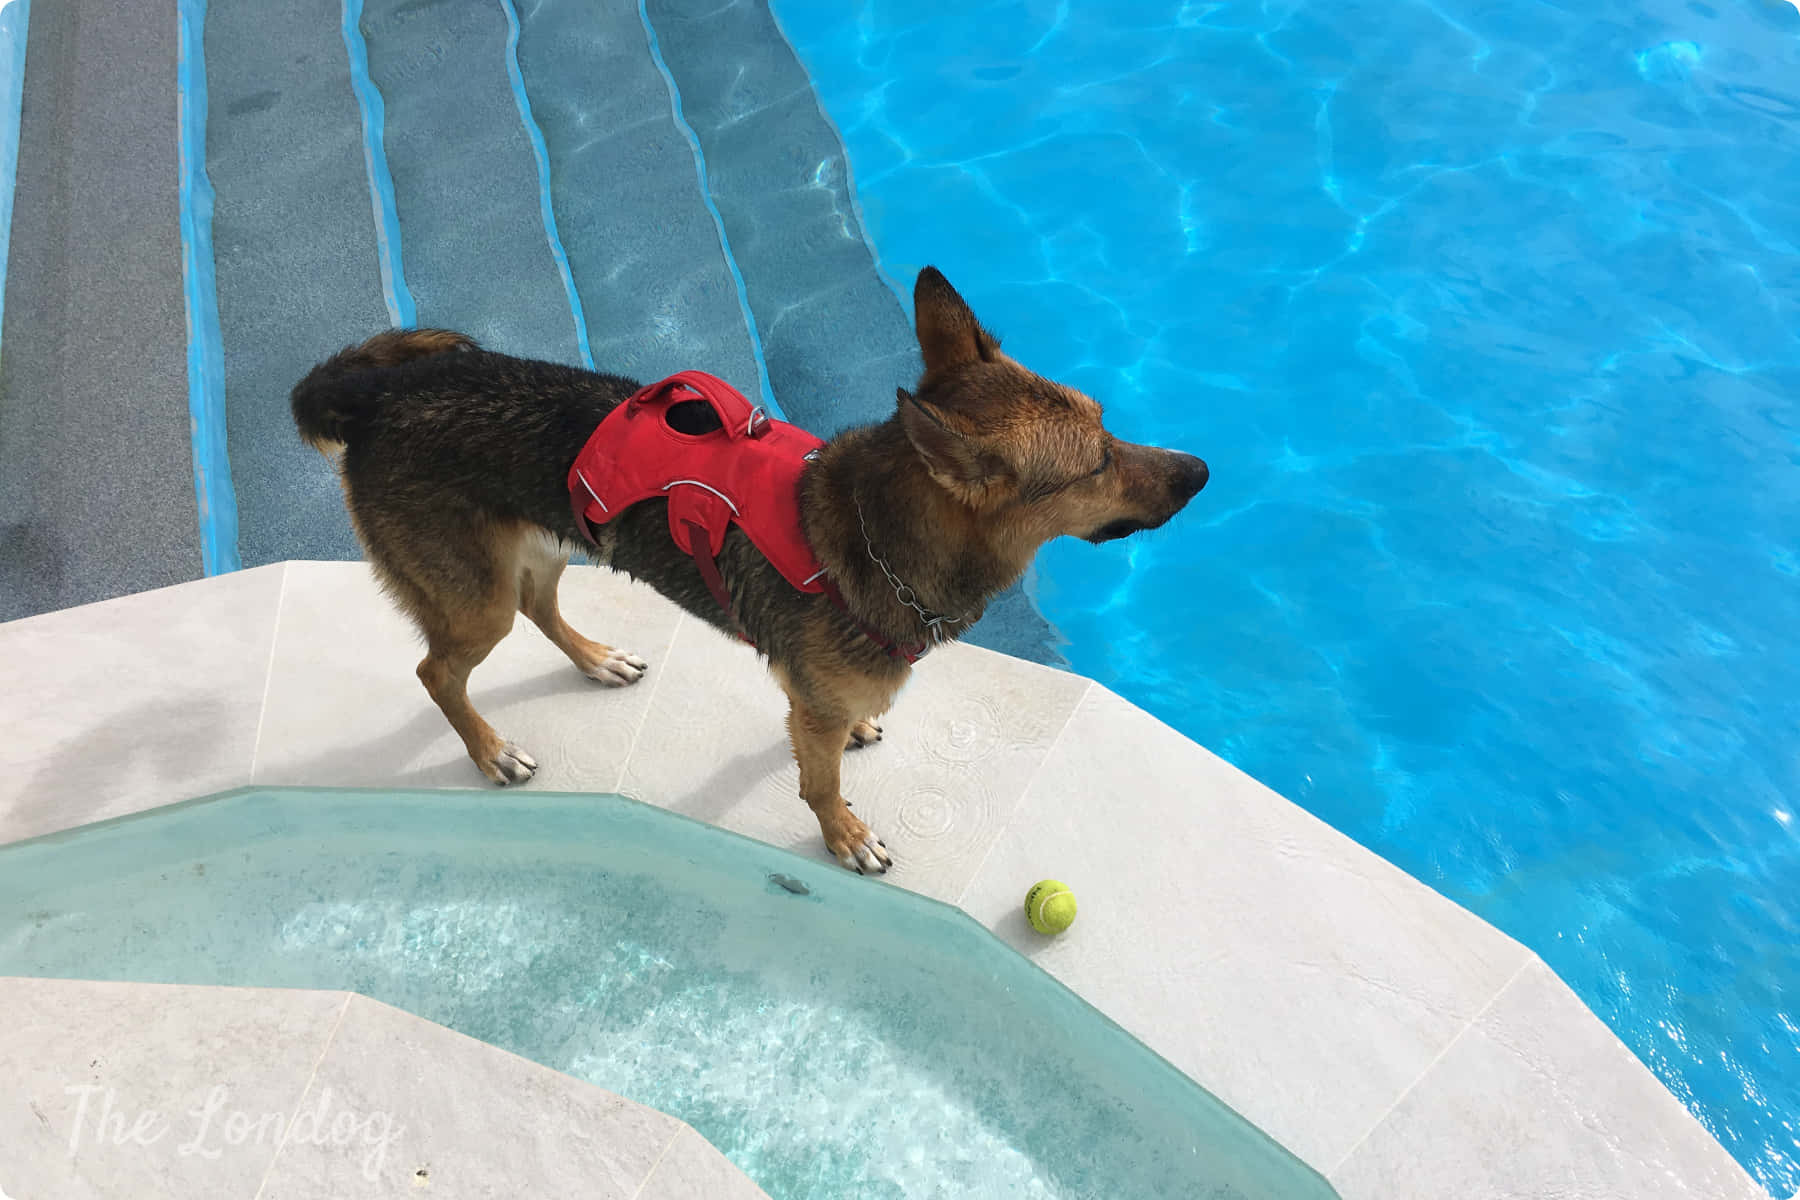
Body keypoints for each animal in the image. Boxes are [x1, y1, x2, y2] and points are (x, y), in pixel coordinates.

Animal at [291, 268, 1209, 874]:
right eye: (1096, 465)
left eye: (1107, 423)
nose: (1203, 471)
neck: (879, 534)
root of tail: (377, 398)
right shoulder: (816, 709)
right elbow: (820, 783)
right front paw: (844, 835)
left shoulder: (813, 699)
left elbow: (822, 731)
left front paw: (855, 742)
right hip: (474, 599)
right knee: (437, 671)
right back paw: (490, 752)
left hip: (550, 542)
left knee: (541, 610)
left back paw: (598, 660)